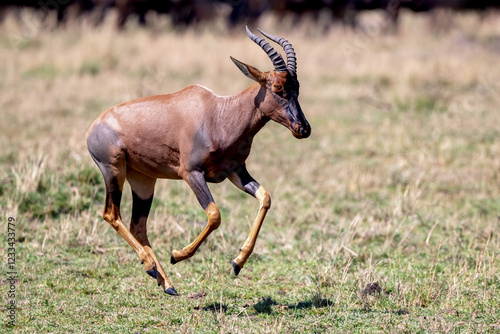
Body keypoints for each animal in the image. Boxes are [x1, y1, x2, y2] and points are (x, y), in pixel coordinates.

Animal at [87, 26, 312, 294]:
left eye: (298, 87)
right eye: (277, 87)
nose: (303, 128)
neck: (220, 112)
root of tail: (94, 126)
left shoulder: (236, 171)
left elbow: (265, 197)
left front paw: (238, 262)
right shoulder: (191, 173)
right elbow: (214, 215)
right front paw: (177, 254)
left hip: (143, 181)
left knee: (138, 225)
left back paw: (164, 281)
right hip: (113, 171)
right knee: (111, 214)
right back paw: (151, 266)